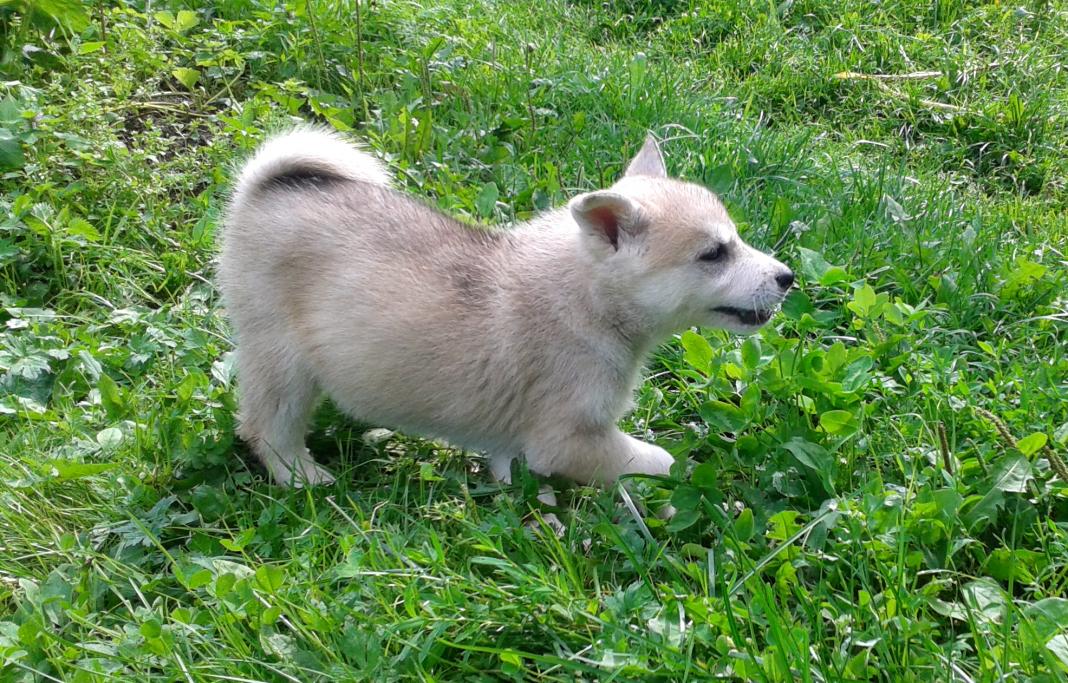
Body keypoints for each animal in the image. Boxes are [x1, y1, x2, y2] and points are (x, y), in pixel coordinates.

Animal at [218, 128, 793, 496]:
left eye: (734, 239)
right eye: (714, 254)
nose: (787, 277)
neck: (583, 297)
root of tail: (264, 187)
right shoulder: (566, 442)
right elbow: (663, 462)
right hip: (282, 361)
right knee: (265, 427)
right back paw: (302, 476)